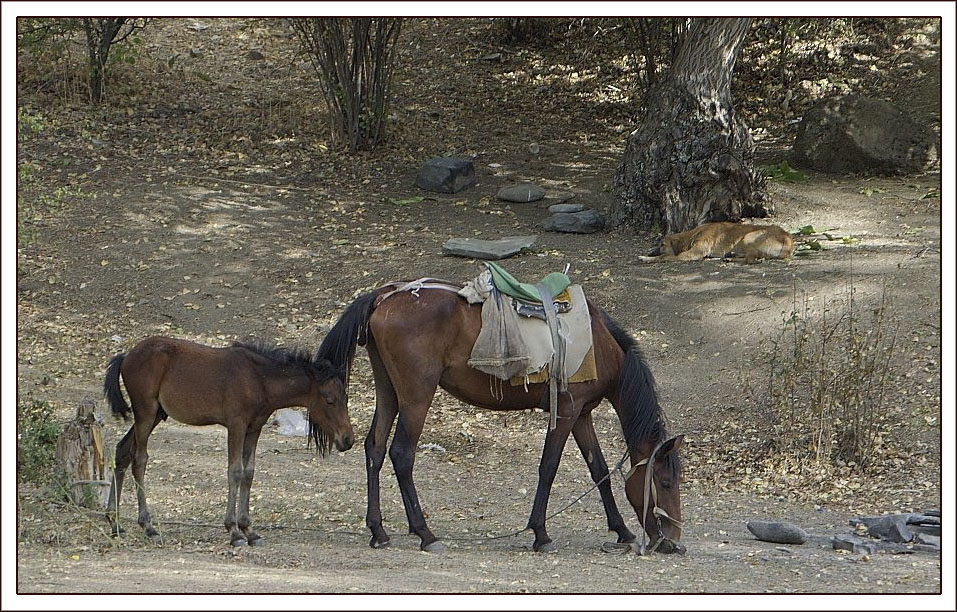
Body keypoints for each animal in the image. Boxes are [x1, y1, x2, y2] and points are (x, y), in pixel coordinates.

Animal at [102, 338, 354, 548]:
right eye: (329, 400)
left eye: (346, 398)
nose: (348, 439)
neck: (259, 380)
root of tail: (127, 355)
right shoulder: (236, 424)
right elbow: (235, 471)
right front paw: (234, 532)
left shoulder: (254, 428)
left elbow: (249, 472)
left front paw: (249, 530)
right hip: (145, 413)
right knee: (139, 459)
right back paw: (148, 526)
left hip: (156, 414)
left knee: (122, 451)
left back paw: (114, 522)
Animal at [318, 282, 684, 556]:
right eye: (666, 482)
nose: (672, 541)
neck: (598, 343)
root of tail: (386, 295)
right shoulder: (567, 412)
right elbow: (549, 467)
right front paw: (540, 533)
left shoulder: (582, 415)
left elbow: (599, 470)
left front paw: (622, 530)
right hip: (416, 397)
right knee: (401, 454)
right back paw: (425, 533)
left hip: (389, 391)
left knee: (375, 448)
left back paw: (378, 530)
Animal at [640, 222, 796, 266]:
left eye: (662, 245)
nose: (650, 251)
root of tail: (786, 236)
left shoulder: (691, 254)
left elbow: (664, 257)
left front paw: (646, 258)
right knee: (753, 258)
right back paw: (729, 257)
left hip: (748, 236)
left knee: (751, 260)